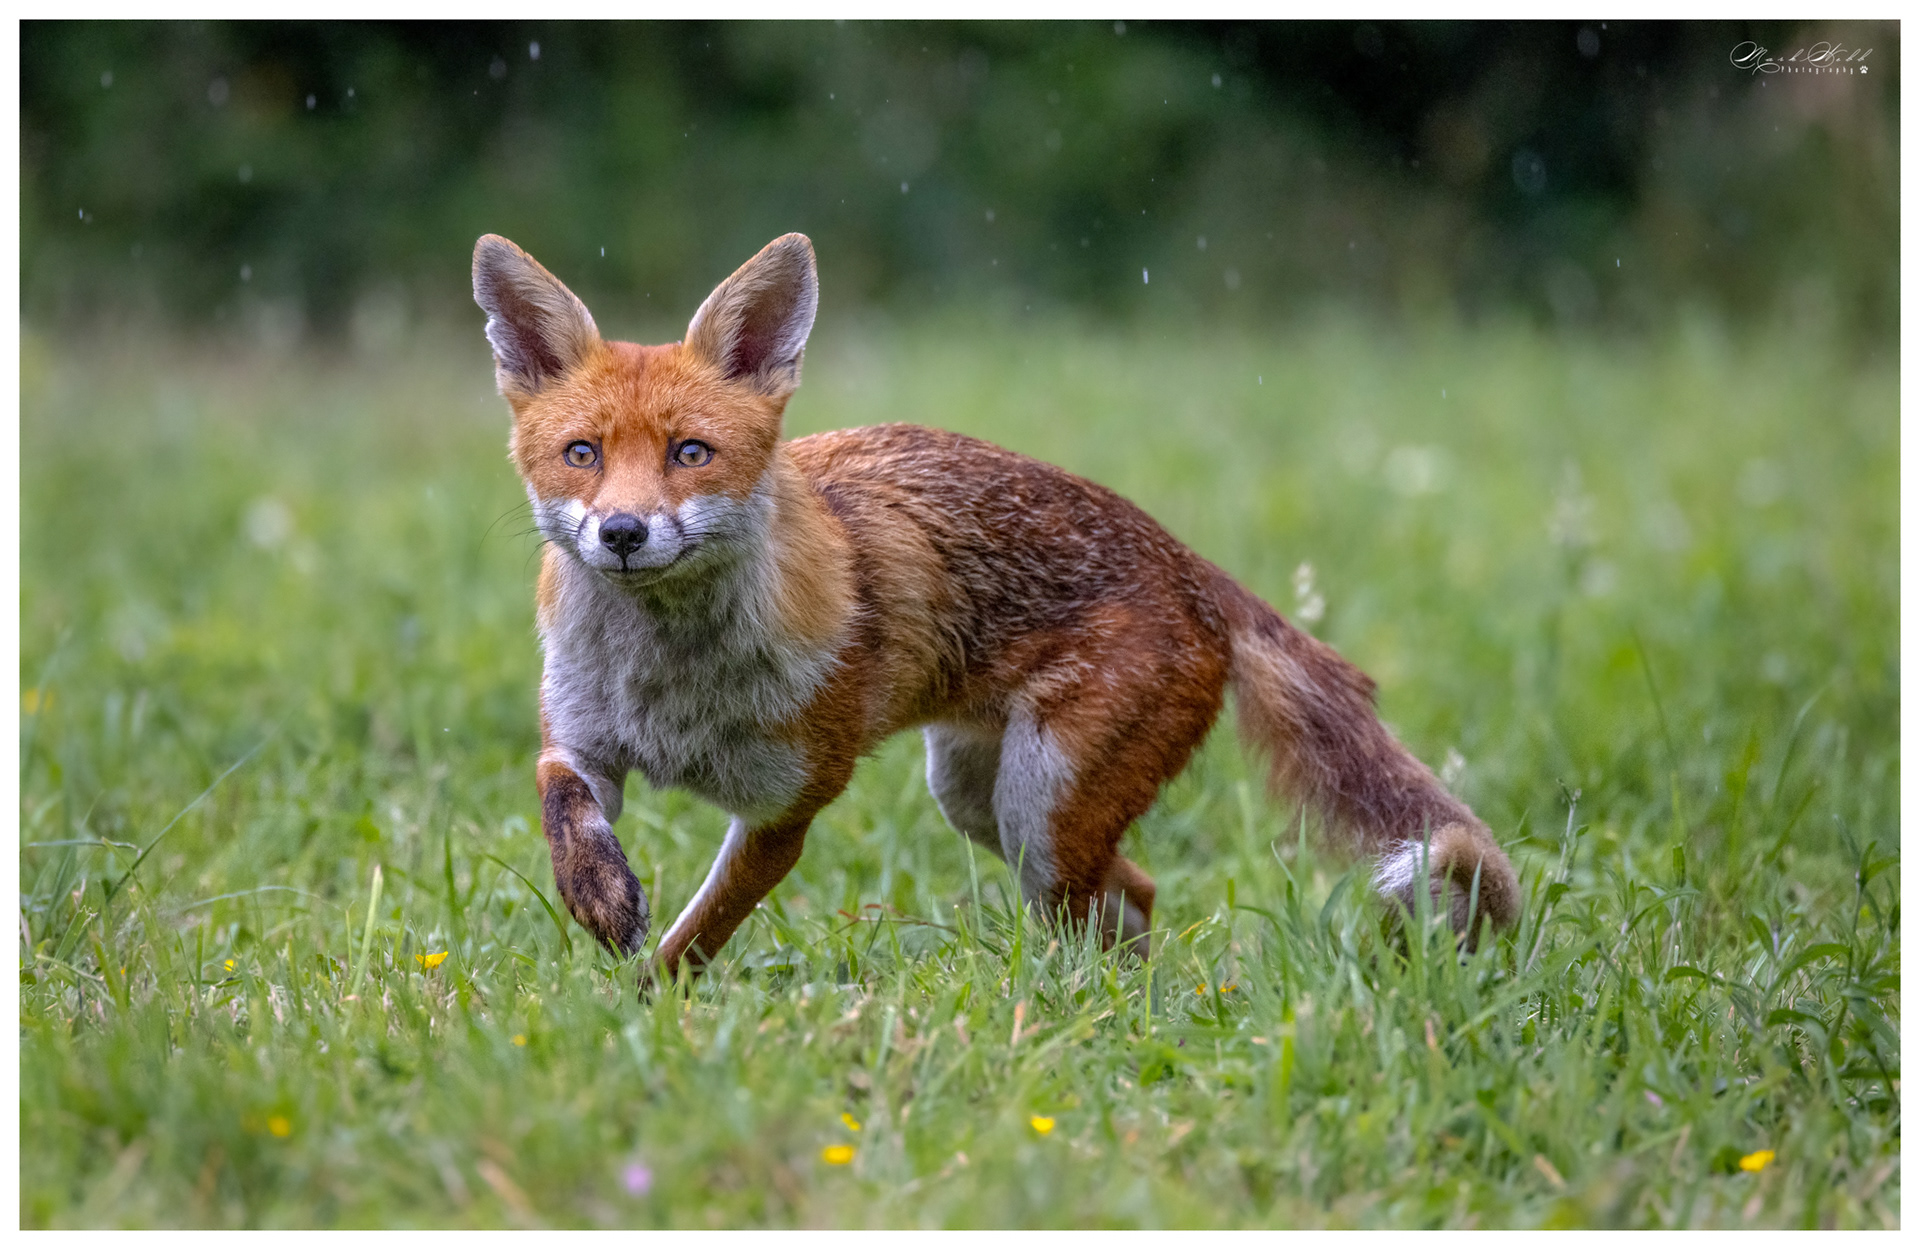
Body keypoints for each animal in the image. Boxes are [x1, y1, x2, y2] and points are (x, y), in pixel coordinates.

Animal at [471, 230, 1520, 983]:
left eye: (690, 453)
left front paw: (646, 1007)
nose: (622, 533)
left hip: (1040, 813)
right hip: (983, 803)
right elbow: (563, 803)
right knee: (1135, 893)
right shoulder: (582, 735)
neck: (671, 683)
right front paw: (599, 898)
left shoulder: (786, 808)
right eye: (581, 454)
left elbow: (695, 937)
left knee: (1115, 900)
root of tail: (1190, 563)